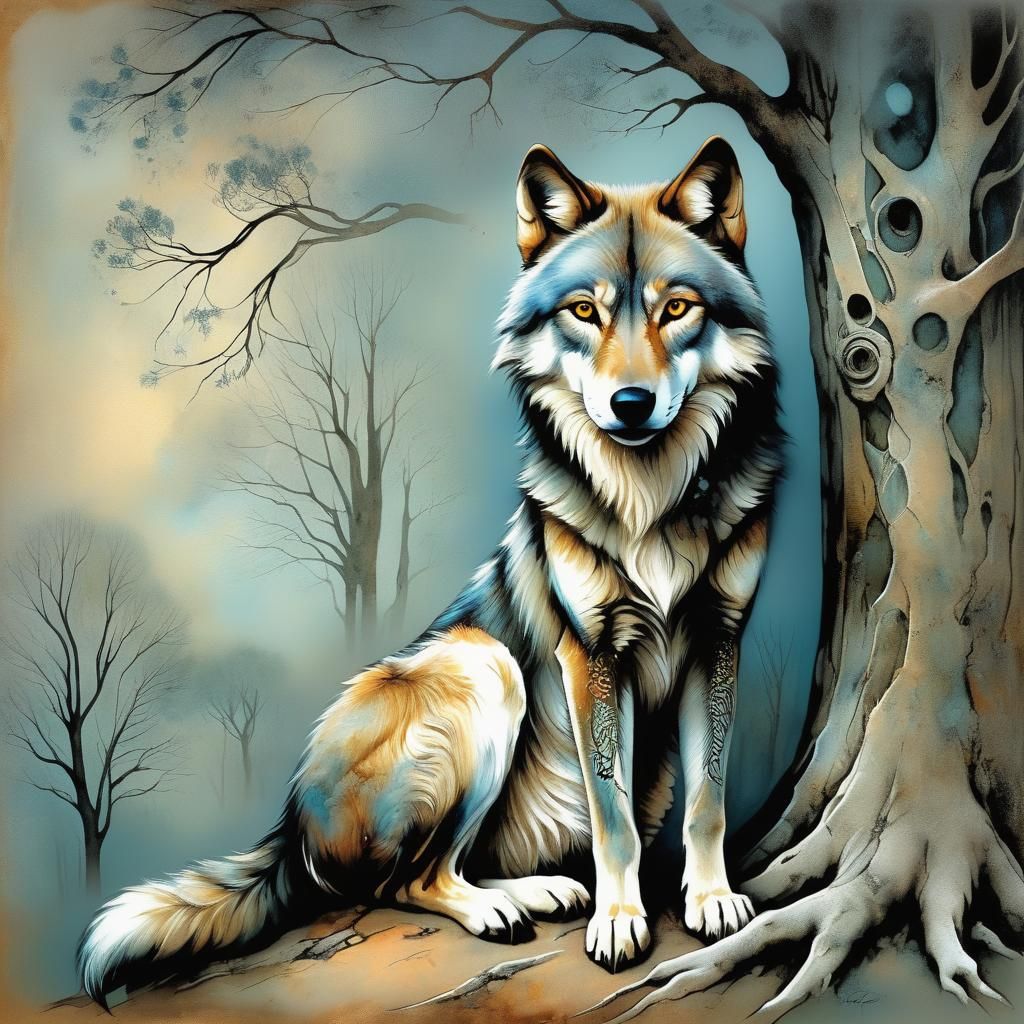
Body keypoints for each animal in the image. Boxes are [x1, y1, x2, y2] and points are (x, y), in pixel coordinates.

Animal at [80, 136, 782, 1000]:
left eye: (676, 309)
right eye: (584, 312)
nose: (630, 404)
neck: (650, 499)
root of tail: (289, 825)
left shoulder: (720, 637)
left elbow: (708, 795)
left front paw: (711, 898)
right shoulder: (589, 655)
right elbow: (612, 815)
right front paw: (620, 921)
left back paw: (540, 890)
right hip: (484, 664)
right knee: (408, 879)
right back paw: (503, 907)